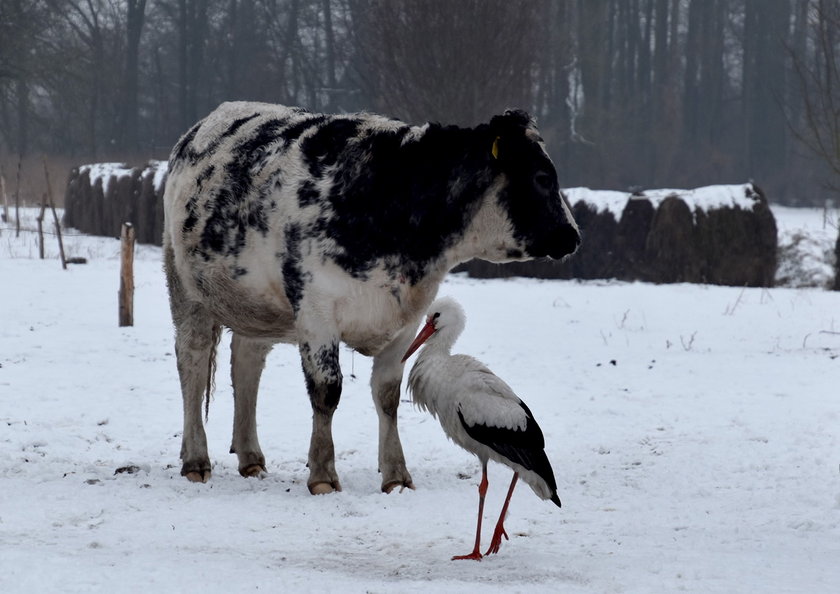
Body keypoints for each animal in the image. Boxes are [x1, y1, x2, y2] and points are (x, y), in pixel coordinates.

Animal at [165, 100, 584, 490]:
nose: (573, 236)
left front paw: (396, 475)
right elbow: (326, 390)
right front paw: (323, 474)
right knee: (192, 363)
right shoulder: (316, 312)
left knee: (247, 365)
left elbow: (387, 395)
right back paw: (196, 459)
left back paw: (250, 456)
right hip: (186, 289)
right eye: (543, 177)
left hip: (257, 305)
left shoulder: (407, 318)